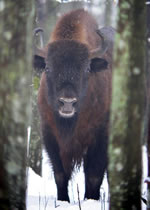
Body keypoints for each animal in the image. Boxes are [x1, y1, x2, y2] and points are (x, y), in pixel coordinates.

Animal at [33, 8, 114, 202]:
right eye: (48, 68)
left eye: (87, 69)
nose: (67, 102)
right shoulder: (50, 136)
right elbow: (60, 174)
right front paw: (63, 201)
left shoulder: (100, 137)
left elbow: (93, 175)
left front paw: (90, 200)